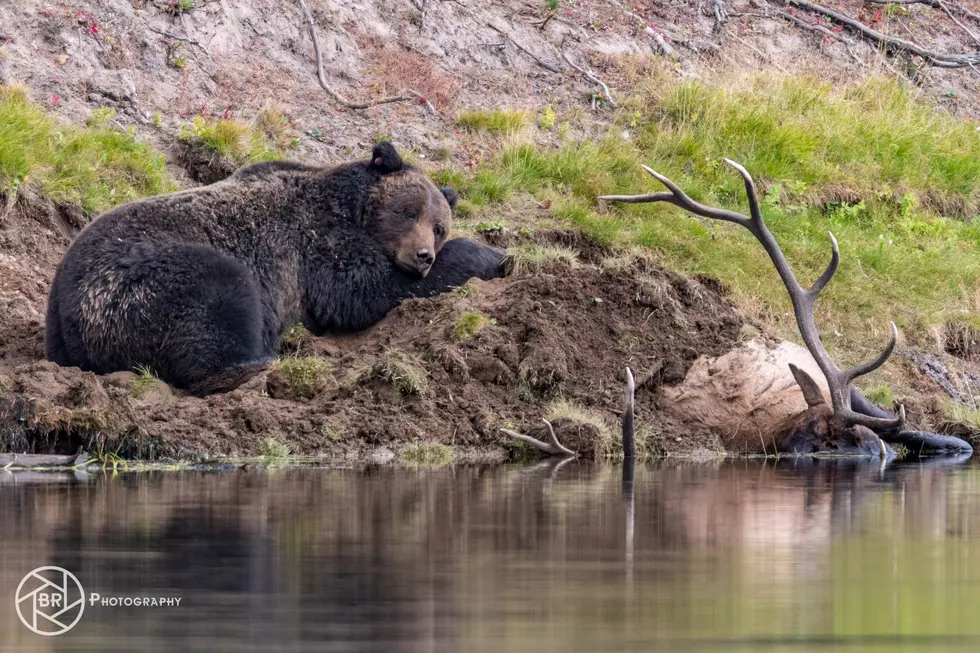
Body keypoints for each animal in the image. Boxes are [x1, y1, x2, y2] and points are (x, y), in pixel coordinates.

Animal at [46, 143, 506, 394]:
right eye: (409, 212)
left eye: (439, 226)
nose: (423, 255)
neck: (350, 209)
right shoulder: (316, 246)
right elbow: (362, 291)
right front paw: (492, 255)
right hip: (138, 284)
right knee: (219, 292)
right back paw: (263, 362)